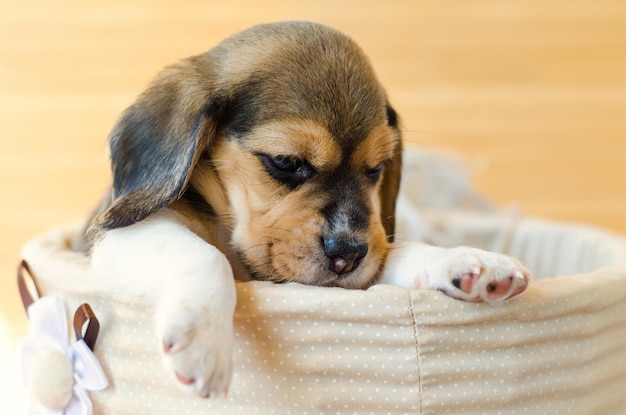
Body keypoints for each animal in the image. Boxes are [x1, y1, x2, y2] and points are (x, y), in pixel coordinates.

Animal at [83, 20, 528, 400]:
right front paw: (203, 340)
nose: (348, 255)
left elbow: (394, 252)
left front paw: (464, 262)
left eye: (376, 169)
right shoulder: (121, 237)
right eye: (285, 161)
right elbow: (206, 255)